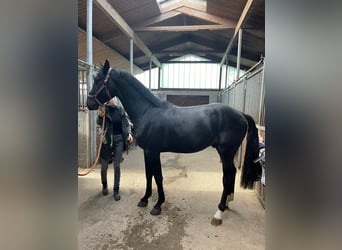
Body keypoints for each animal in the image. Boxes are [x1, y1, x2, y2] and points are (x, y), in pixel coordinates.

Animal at [86, 60, 262, 227]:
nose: (89, 103)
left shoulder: (153, 151)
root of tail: (240, 114)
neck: (148, 111)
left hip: (225, 152)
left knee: (228, 176)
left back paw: (218, 213)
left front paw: (158, 205)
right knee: (232, 174)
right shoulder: (147, 152)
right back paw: (228, 202)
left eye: (98, 79)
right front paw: (144, 199)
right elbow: (148, 174)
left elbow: (158, 176)